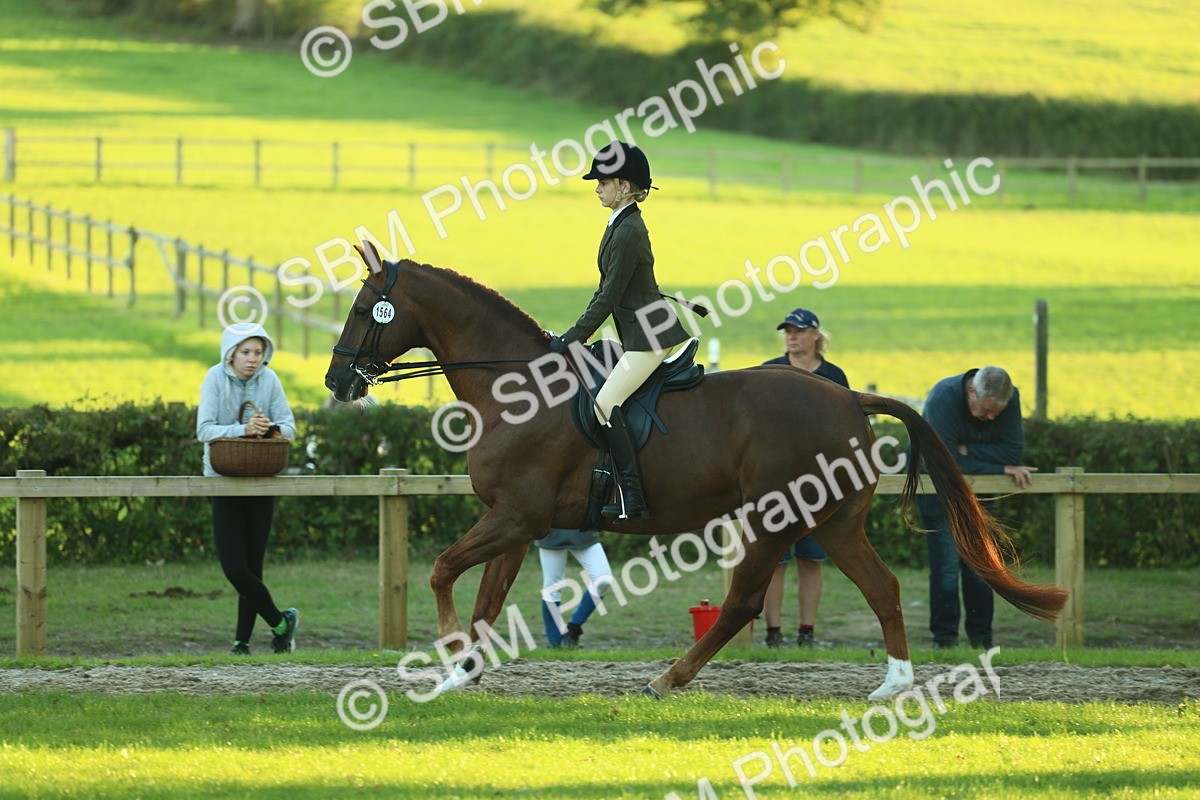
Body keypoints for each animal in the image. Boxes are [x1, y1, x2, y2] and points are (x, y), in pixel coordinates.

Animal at [324, 243, 1067, 701]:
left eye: (363, 310)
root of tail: (848, 397)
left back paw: (667, 680)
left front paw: (449, 654)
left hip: (774, 519)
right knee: (881, 588)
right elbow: (484, 598)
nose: (337, 382)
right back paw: (893, 685)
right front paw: (463, 672)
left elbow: (443, 572)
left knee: (742, 602)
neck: (516, 389)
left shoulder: (513, 517)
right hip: (834, 522)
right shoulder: (519, 522)